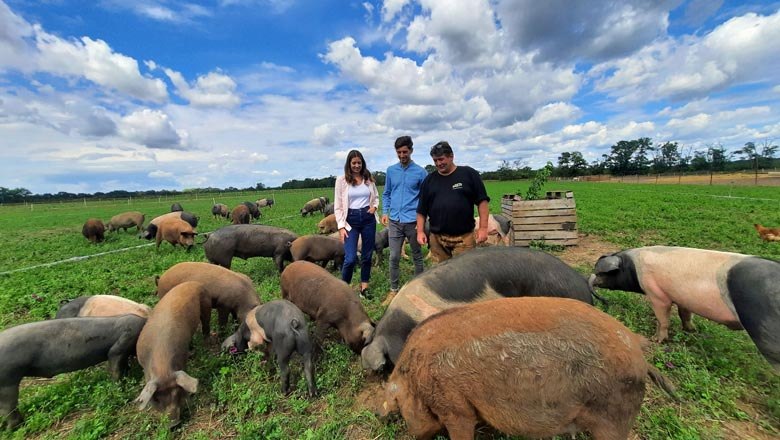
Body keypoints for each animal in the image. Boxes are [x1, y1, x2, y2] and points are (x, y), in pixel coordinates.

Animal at [0, 315, 146, 429]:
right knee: (8, 407)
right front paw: (121, 389)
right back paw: (13, 428)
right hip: (8, 379)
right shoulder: (120, 347)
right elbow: (115, 367)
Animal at [135, 281, 210, 427]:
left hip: (206, 304)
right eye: (156, 399)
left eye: (177, 393)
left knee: (206, 324)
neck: (162, 368)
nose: (173, 425)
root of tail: (193, 282)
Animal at [378, 297, 676, 440]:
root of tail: (640, 358)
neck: (414, 374)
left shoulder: (454, 405)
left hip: (614, 417)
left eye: (398, 406)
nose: (381, 415)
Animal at [589, 246, 780, 372]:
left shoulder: (657, 294)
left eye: (602, 273)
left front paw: (656, 340)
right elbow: (684, 314)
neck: (633, 267)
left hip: (766, 331)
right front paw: (691, 330)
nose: (592, 280)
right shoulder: (681, 298)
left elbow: (662, 318)